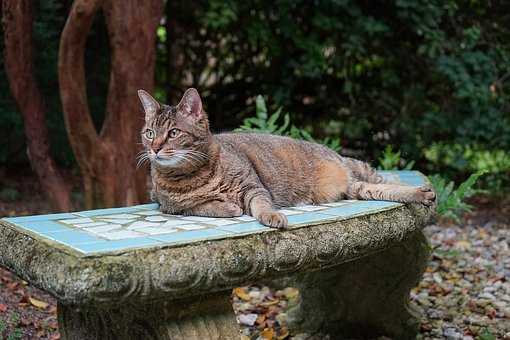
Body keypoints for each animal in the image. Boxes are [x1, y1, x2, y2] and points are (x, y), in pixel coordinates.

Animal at [137, 89, 436, 230]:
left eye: (173, 133)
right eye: (150, 132)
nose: (154, 148)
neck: (194, 173)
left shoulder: (254, 187)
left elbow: (261, 205)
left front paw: (272, 216)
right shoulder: (168, 206)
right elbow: (200, 206)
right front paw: (225, 206)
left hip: (355, 169)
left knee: (383, 179)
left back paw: (422, 190)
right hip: (360, 189)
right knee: (382, 189)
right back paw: (421, 194)